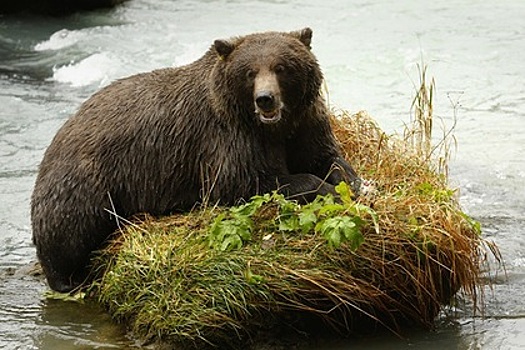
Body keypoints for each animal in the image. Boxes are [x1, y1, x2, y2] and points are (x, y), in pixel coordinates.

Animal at [31, 27, 360, 292]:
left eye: (281, 67)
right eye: (250, 72)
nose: (265, 98)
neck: (272, 127)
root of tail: (58, 134)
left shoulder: (305, 124)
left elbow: (326, 157)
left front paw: (351, 182)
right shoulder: (228, 138)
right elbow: (246, 181)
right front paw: (324, 188)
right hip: (88, 179)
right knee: (68, 230)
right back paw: (68, 280)